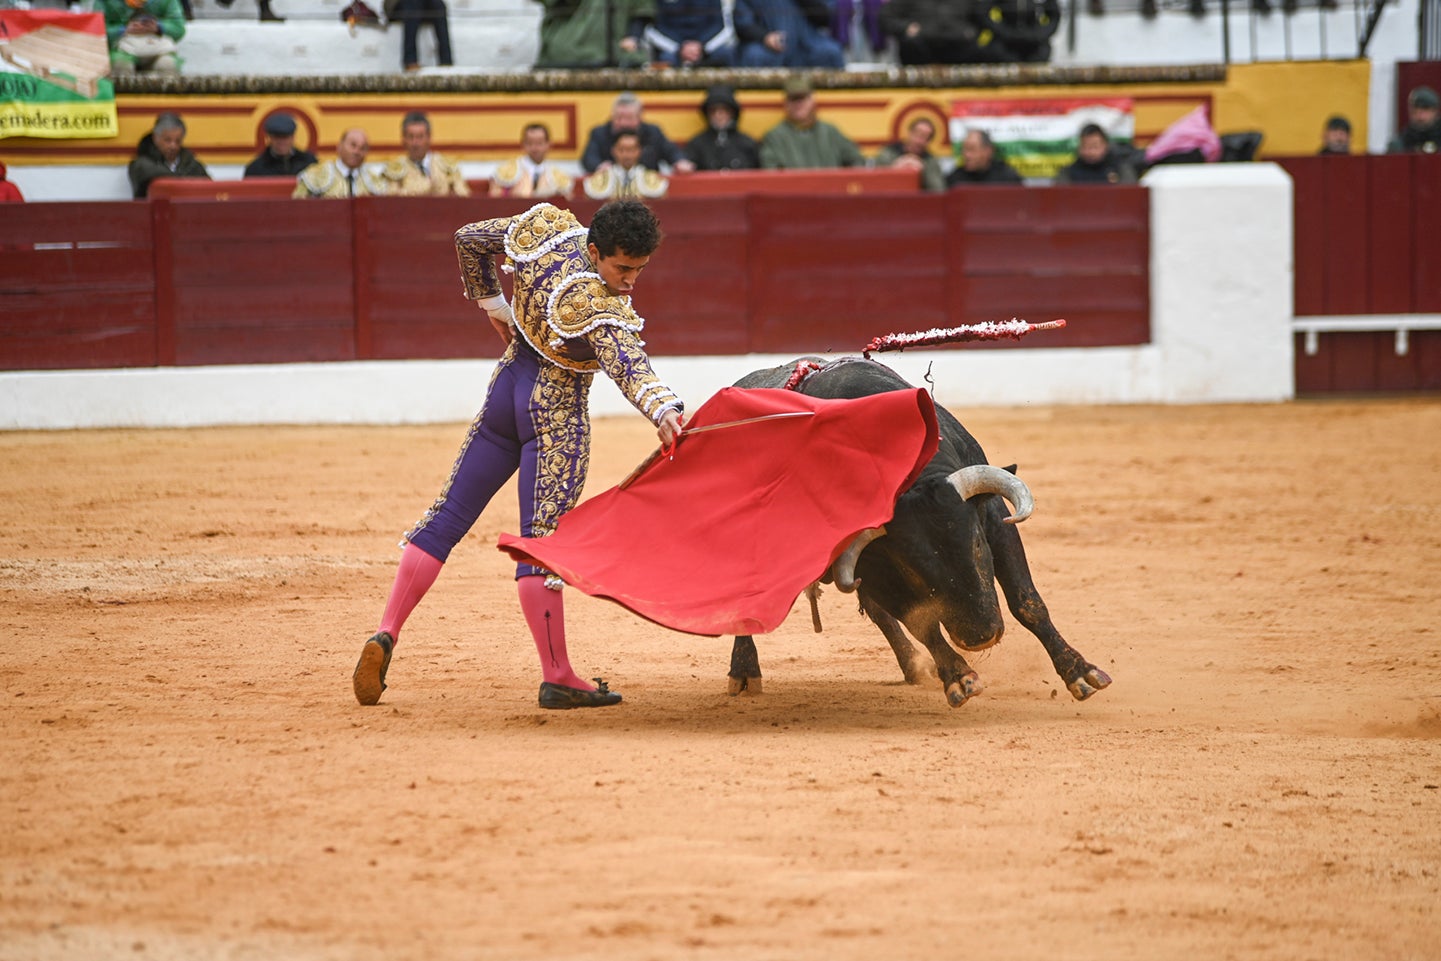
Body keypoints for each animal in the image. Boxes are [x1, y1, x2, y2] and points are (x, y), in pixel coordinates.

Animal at [732, 357, 1112, 711]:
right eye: (912, 570)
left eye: (977, 544)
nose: (981, 637)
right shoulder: (873, 564)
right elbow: (921, 621)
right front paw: (960, 677)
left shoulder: (995, 520)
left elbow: (1027, 602)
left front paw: (1081, 673)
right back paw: (744, 672)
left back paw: (914, 667)